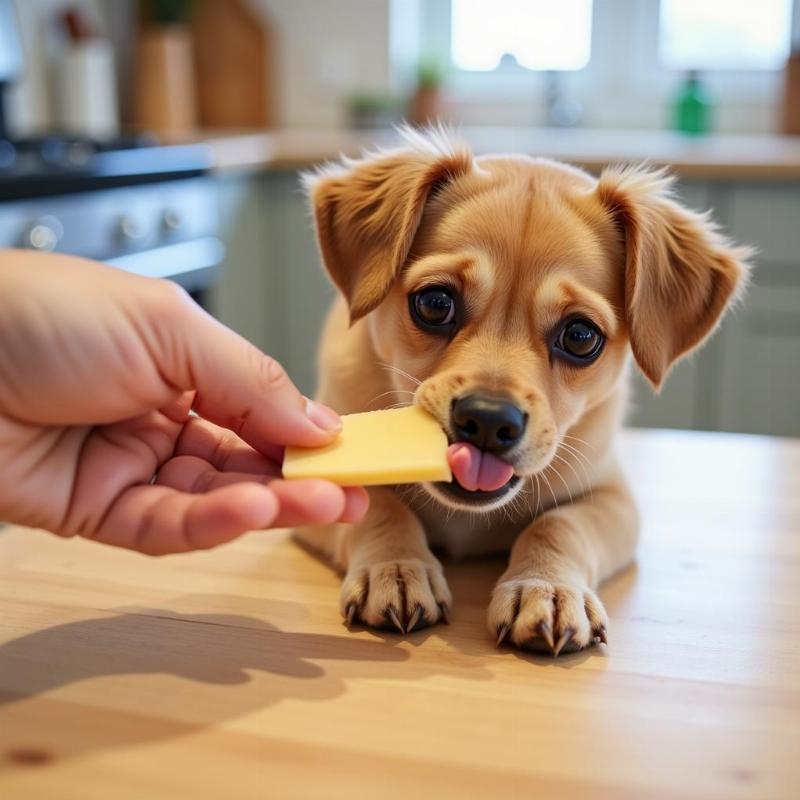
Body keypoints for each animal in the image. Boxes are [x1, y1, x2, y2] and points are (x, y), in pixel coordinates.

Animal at [296, 130, 752, 656]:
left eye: (580, 336)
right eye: (434, 303)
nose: (489, 420)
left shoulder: (614, 499)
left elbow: (559, 525)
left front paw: (546, 588)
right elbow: (380, 507)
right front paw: (396, 567)